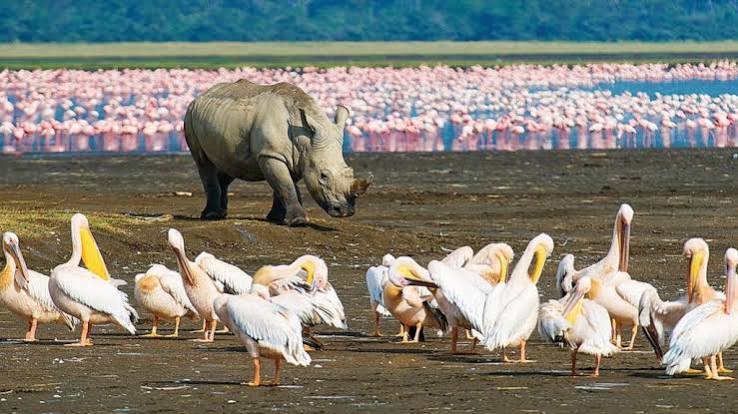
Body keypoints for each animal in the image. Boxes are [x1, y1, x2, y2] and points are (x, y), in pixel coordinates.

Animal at [183, 80, 372, 226]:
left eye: (350, 171)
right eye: (323, 176)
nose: (346, 211)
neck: (304, 139)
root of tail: (202, 95)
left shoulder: (299, 157)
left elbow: (285, 184)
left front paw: (277, 218)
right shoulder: (271, 154)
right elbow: (285, 184)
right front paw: (298, 222)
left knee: (231, 164)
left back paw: (221, 214)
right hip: (190, 115)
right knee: (204, 163)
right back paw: (211, 216)